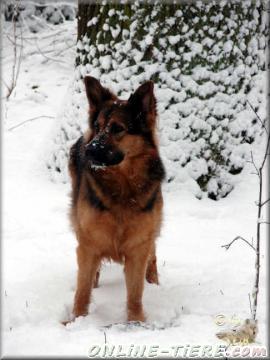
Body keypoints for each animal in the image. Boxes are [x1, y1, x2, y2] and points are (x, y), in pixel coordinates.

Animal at [68, 75, 165, 320]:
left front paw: (136, 322)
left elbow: (135, 293)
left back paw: (154, 281)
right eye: (97, 127)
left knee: (153, 254)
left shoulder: (138, 246)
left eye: (117, 128)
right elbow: (82, 289)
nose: (89, 150)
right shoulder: (88, 244)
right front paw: (78, 320)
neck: (123, 188)